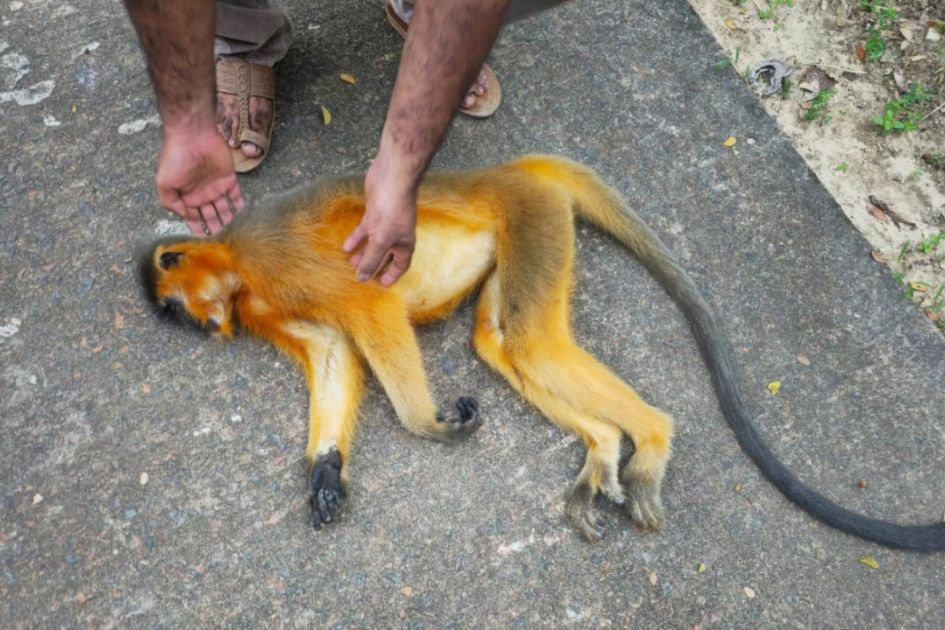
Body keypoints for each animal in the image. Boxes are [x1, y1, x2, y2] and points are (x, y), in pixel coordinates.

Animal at [139, 154, 945, 551]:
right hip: (530, 234)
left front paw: (428, 423)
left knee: (526, 339)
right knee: (502, 343)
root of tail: (517, 170)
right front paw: (324, 473)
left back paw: (650, 438)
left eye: (175, 311)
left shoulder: (275, 261)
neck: (241, 274)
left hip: (532, 219)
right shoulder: (264, 305)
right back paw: (605, 449)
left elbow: (372, 312)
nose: (202, 328)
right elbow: (336, 356)